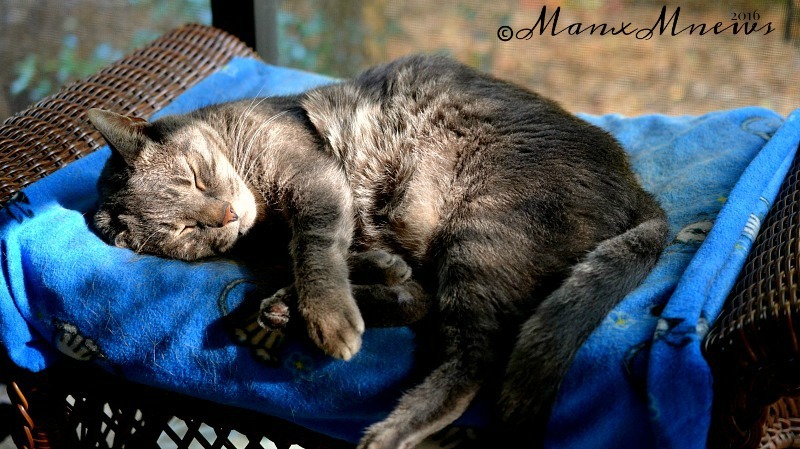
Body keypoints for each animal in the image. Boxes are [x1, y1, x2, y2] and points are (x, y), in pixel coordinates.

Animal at [88, 54, 668, 449]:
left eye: (194, 175)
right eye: (184, 229)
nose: (226, 216)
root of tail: (638, 190)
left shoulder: (314, 182)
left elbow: (317, 248)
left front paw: (327, 312)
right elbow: (336, 257)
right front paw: (351, 283)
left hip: (482, 232)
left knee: (475, 356)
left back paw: (384, 427)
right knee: (430, 312)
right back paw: (292, 308)